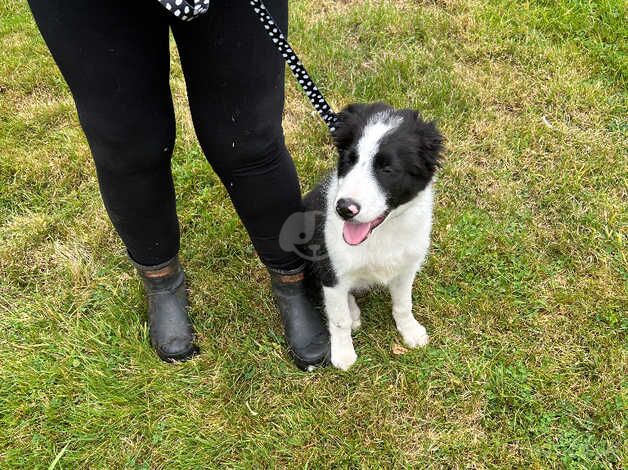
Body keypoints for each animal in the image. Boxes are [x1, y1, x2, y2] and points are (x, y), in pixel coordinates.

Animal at [300, 103, 442, 370]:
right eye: (349, 160)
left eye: (387, 169)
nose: (344, 209)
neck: (383, 232)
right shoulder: (331, 269)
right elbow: (339, 319)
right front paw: (343, 354)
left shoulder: (407, 268)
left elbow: (403, 304)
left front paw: (410, 331)